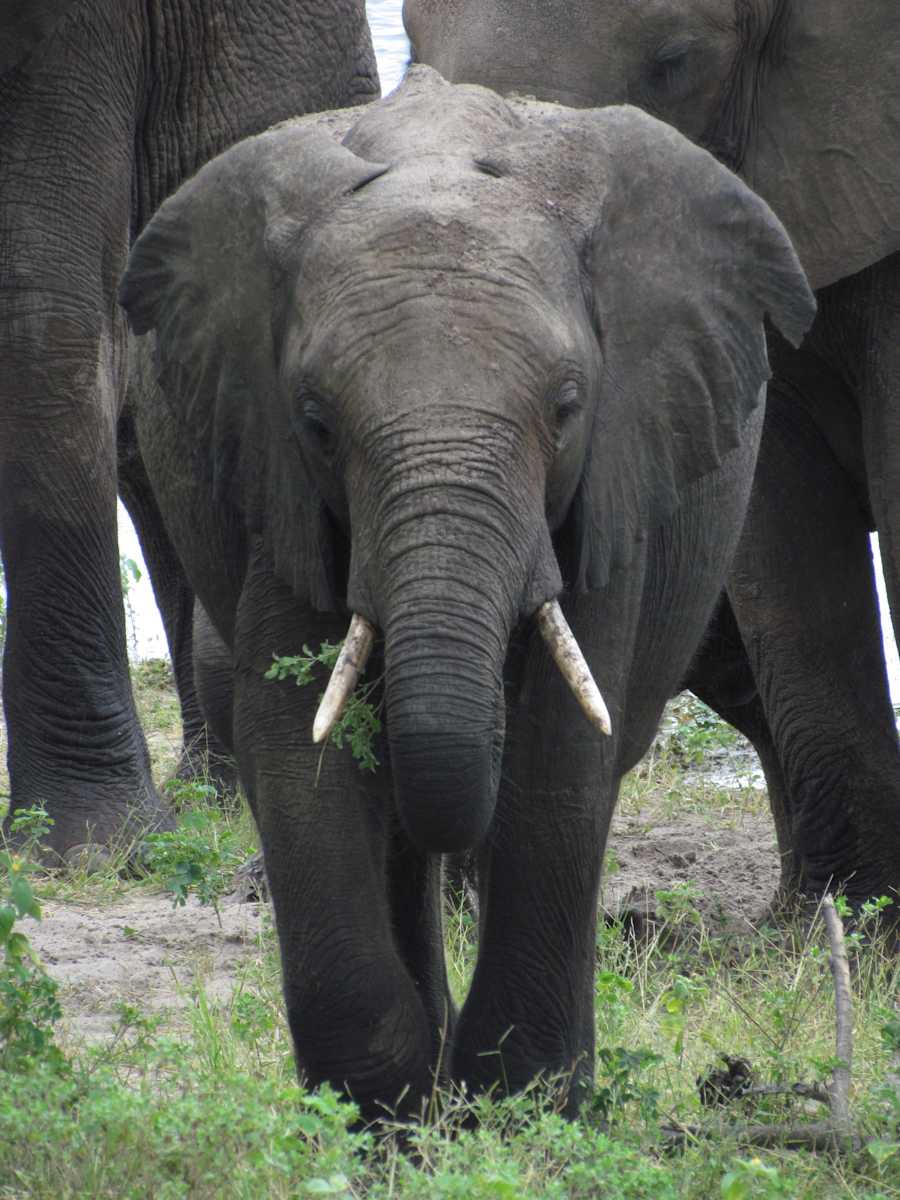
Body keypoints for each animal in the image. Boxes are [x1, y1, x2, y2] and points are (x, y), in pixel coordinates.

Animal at [119, 66, 814, 1118]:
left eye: (566, 409)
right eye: (316, 423)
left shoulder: (617, 474)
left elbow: (562, 752)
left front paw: (518, 1105)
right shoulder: (274, 483)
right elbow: (296, 740)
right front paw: (385, 1112)